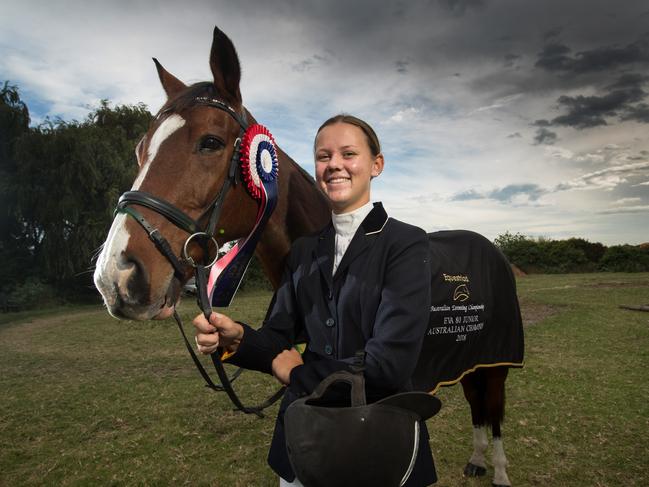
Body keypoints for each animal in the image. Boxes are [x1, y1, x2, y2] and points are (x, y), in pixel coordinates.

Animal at [93, 25, 524, 487]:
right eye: (141, 149)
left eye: (210, 142)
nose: (116, 277)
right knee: (476, 402)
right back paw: (477, 459)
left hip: (496, 361)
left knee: (492, 408)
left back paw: (498, 470)